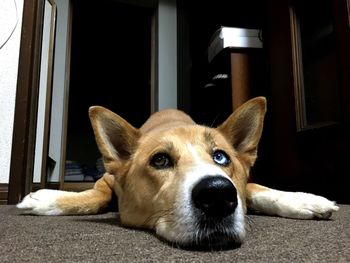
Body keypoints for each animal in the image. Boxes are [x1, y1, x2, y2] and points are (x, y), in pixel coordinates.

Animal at [17, 97, 340, 250]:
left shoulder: (241, 181)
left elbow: (255, 189)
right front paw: (45, 199)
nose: (218, 194)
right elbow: (95, 197)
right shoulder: (107, 178)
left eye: (220, 156)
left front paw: (304, 200)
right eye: (160, 160)